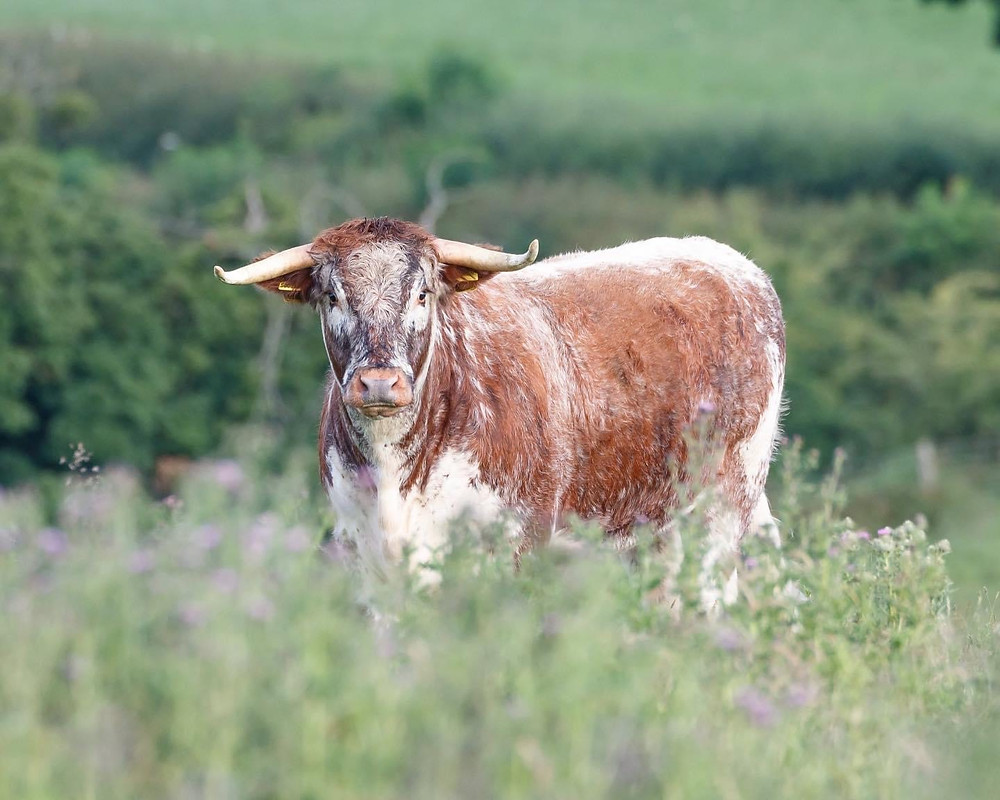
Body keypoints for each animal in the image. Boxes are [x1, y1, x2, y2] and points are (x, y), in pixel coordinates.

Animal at [215, 217, 785, 608]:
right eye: (332, 296)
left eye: (423, 293)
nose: (379, 382)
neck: (395, 471)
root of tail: (729, 261)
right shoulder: (363, 551)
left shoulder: (516, 542)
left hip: (722, 511)